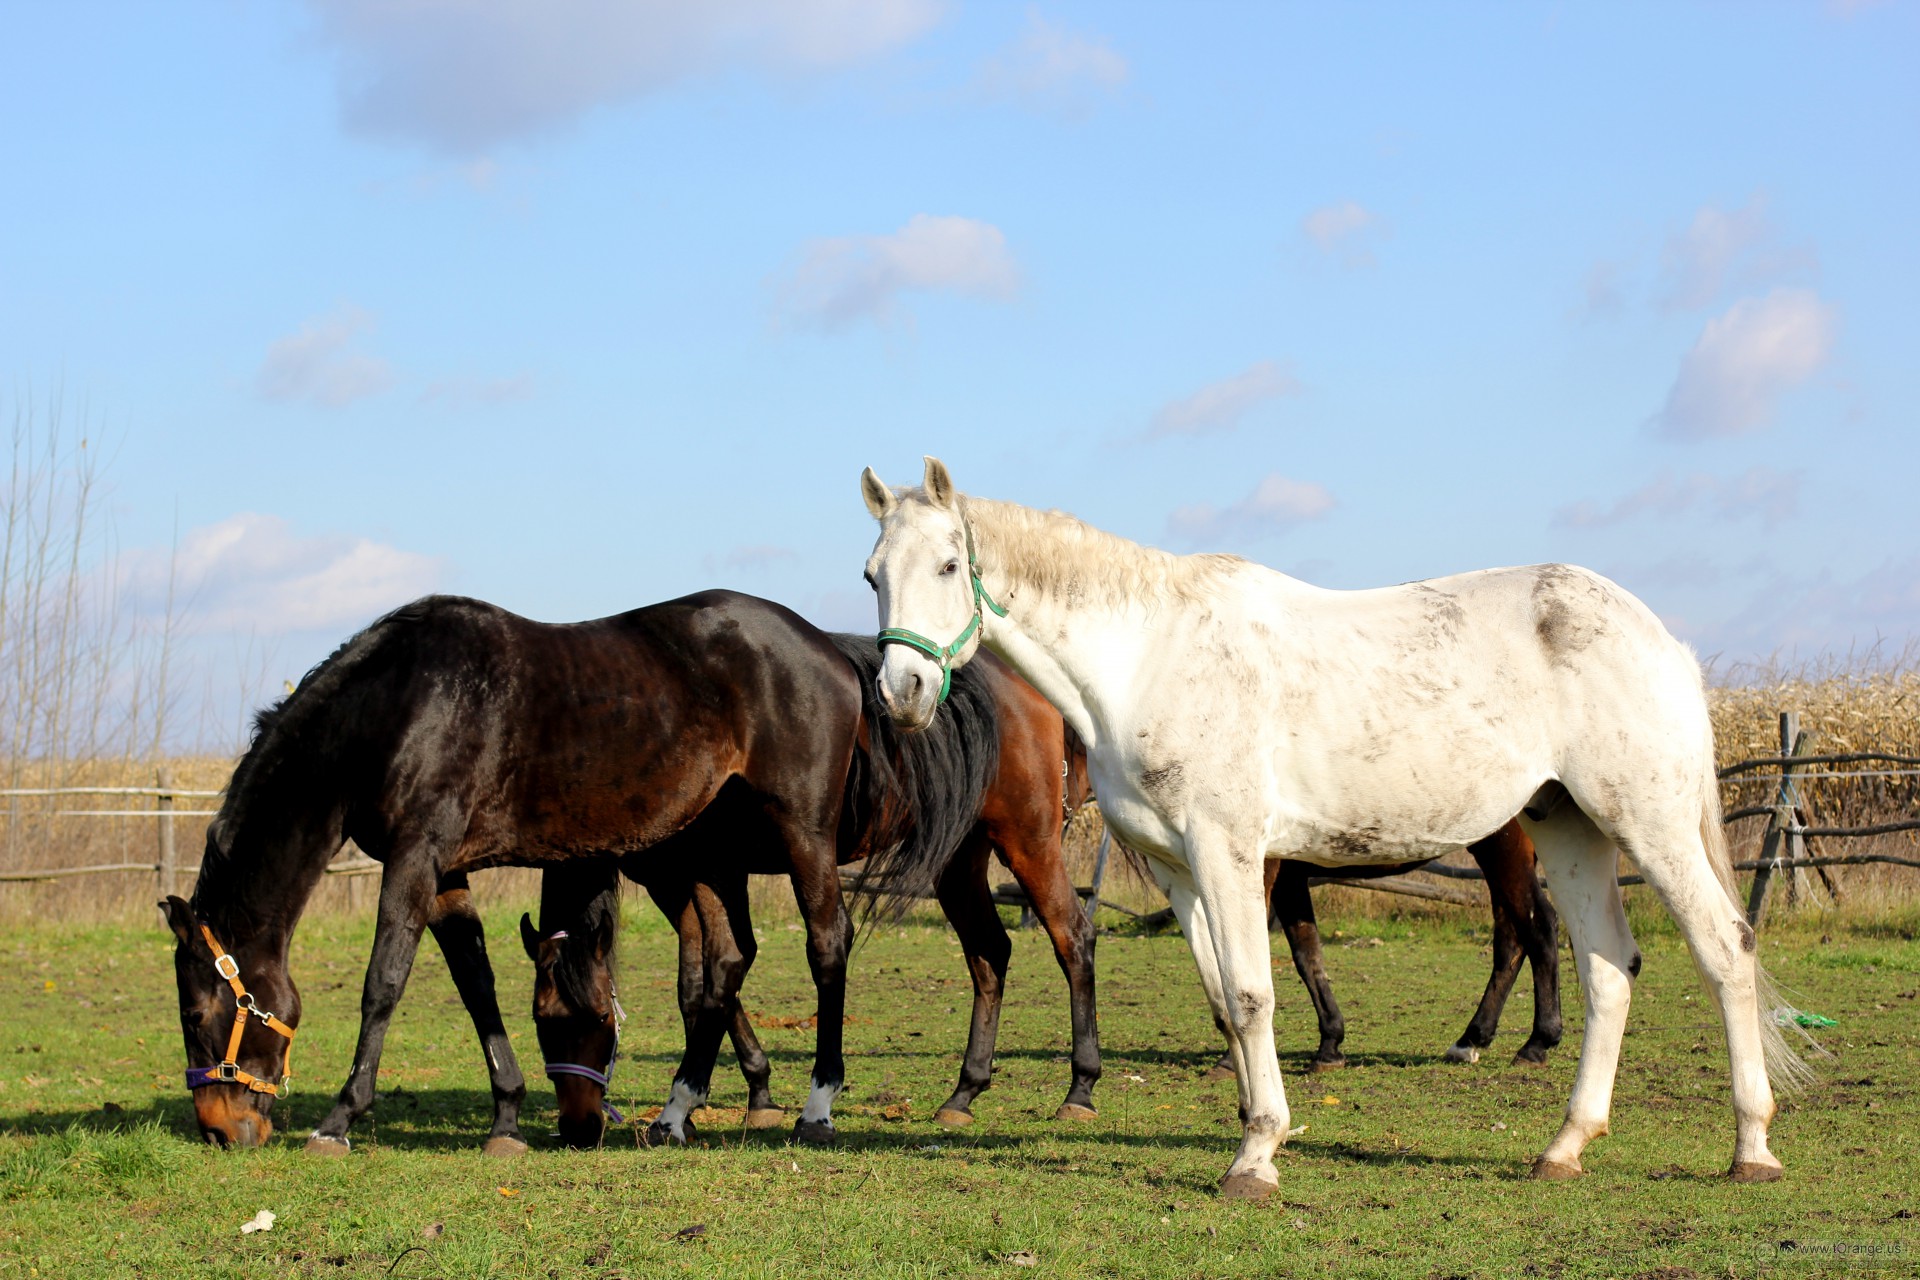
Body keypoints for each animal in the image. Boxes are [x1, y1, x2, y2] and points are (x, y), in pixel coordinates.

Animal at [157, 594, 983, 1159]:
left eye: (196, 1016)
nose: (221, 1127)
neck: (402, 702)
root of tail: (830, 649)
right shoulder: (449, 873)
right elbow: (476, 986)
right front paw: (507, 1117)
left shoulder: (414, 856)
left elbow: (383, 981)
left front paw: (339, 1118)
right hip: (715, 854)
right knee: (727, 964)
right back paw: (684, 1112)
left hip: (801, 835)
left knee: (826, 946)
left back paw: (817, 1103)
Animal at [522, 640, 1113, 1151]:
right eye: (540, 1023)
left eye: (593, 1020)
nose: (577, 1128)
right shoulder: (684, 881)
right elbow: (699, 984)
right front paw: (724, 1096)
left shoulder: (702, 874)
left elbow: (720, 974)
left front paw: (744, 1093)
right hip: (959, 859)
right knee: (990, 952)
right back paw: (963, 1093)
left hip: (1028, 842)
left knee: (1073, 937)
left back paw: (1080, 1089)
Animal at [864, 458, 1804, 1205]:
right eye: (873, 574)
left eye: (950, 563)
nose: (902, 693)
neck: (1147, 655)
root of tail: (1660, 638)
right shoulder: (1179, 869)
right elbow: (1223, 1000)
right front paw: (1255, 1125)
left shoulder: (1231, 851)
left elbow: (1252, 994)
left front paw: (1255, 1159)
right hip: (1568, 826)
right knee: (1608, 968)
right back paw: (1565, 1146)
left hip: (1646, 822)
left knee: (1724, 947)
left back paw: (1751, 1147)